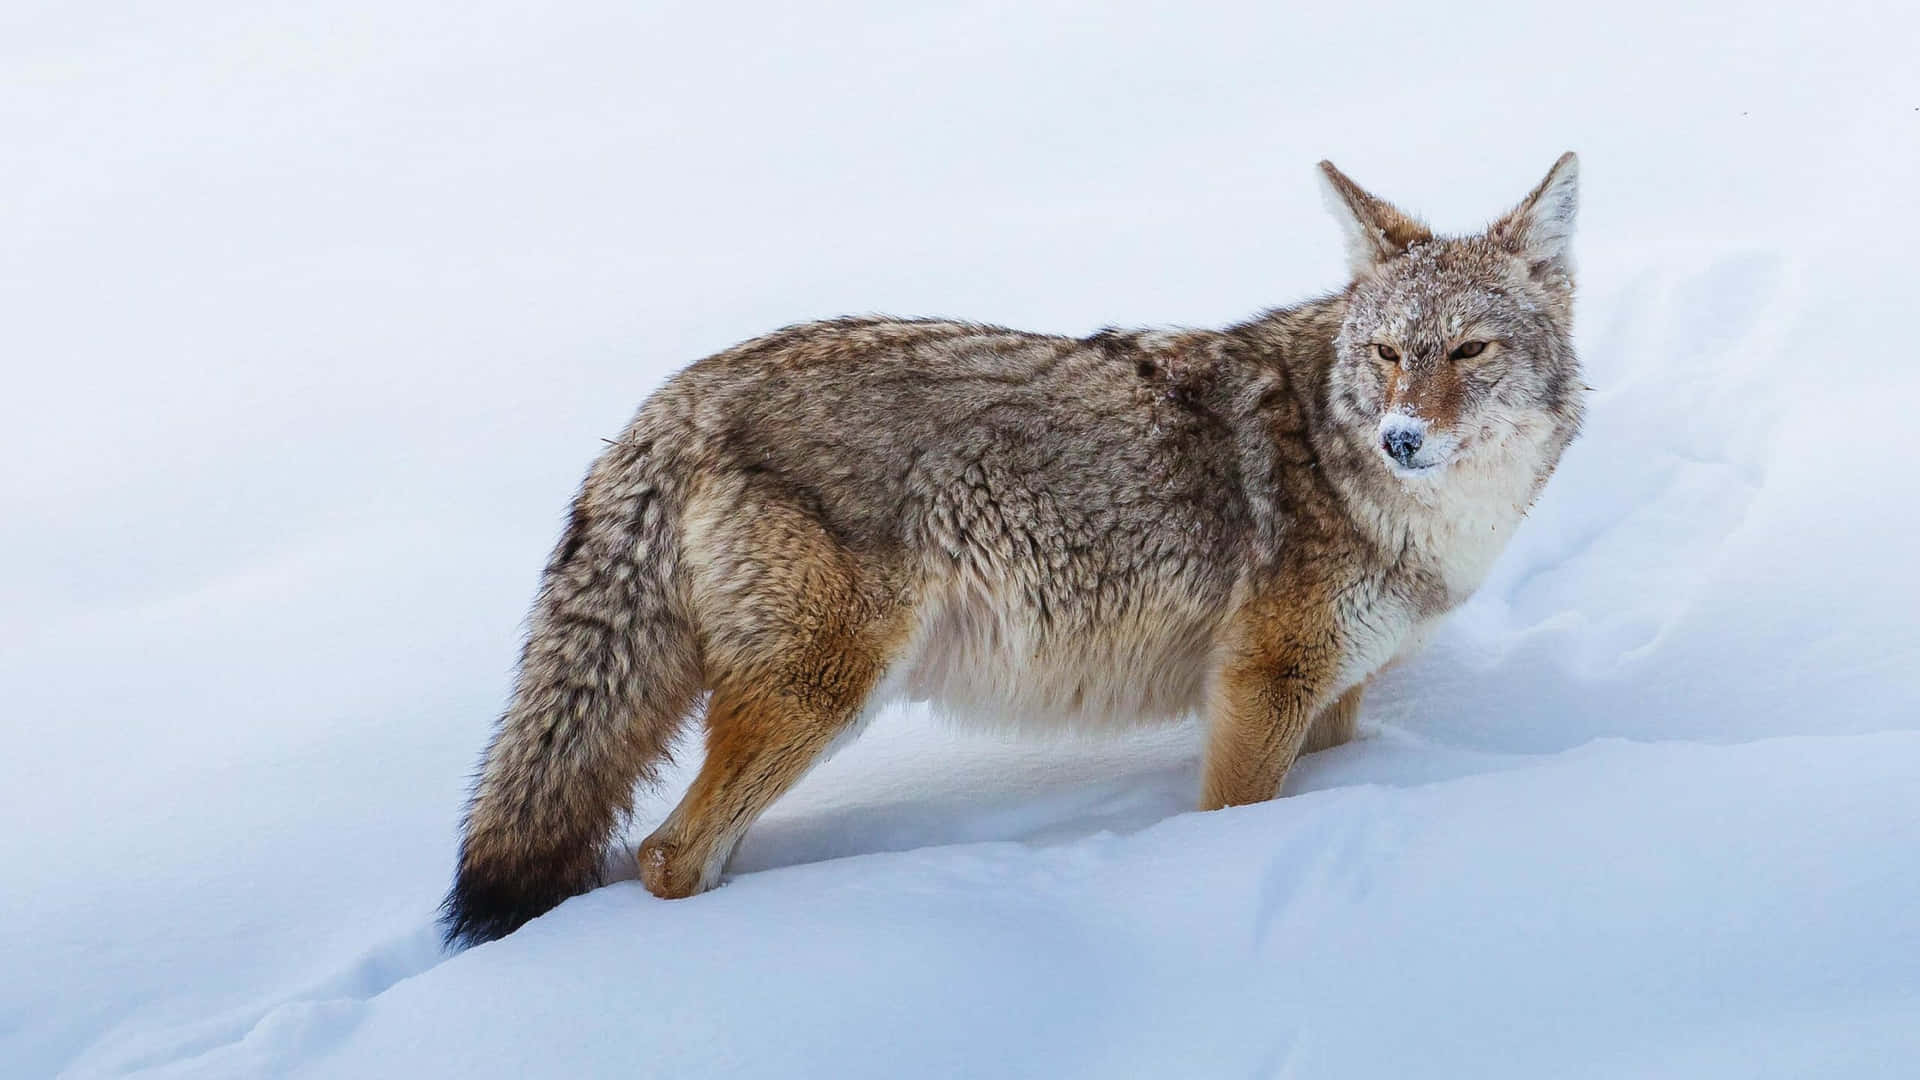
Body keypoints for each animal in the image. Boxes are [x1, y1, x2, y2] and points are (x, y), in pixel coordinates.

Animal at [441, 151, 1582, 941]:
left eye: (1468, 350)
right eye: (1387, 352)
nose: (1402, 439)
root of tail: (676, 395)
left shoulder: (1335, 696)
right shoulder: (1261, 688)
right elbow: (1233, 815)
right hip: (822, 696)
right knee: (667, 855)